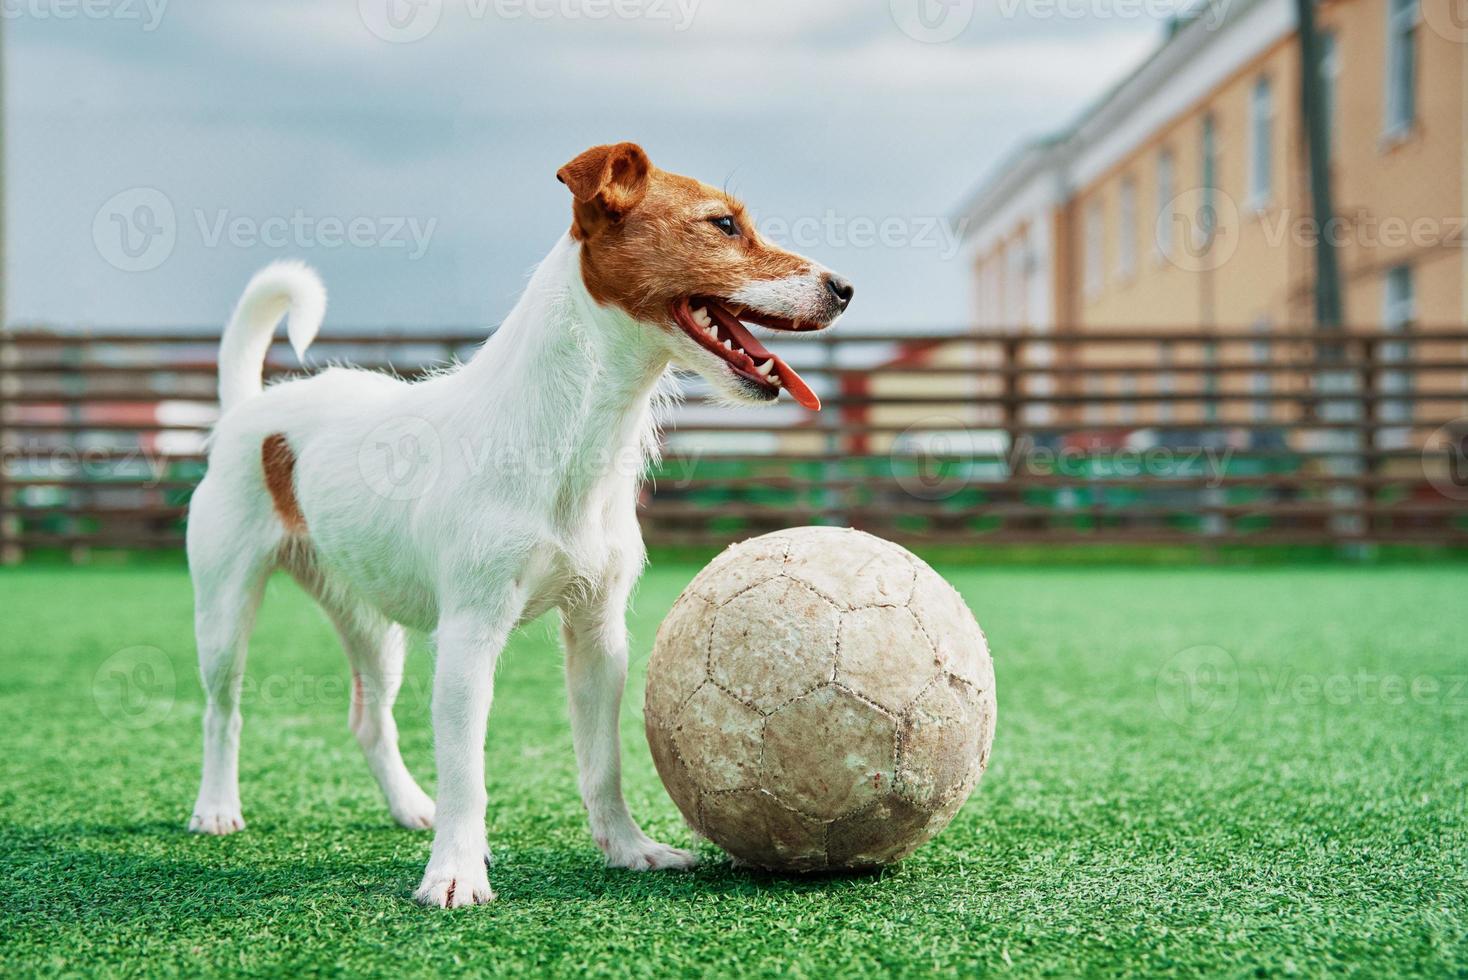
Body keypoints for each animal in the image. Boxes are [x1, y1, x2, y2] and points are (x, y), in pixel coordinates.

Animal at [186, 141, 851, 909]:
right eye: (723, 224)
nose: (845, 287)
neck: (571, 435)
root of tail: (249, 408)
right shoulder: (468, 635)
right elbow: (467, 774)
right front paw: (455, 873)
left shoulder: (598, 634)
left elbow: (602, 763)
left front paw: (628, 849)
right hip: (226, 610)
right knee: (223, 711)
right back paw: (216, 808)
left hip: (372, 625)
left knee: (369, 719)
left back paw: (409, 806)